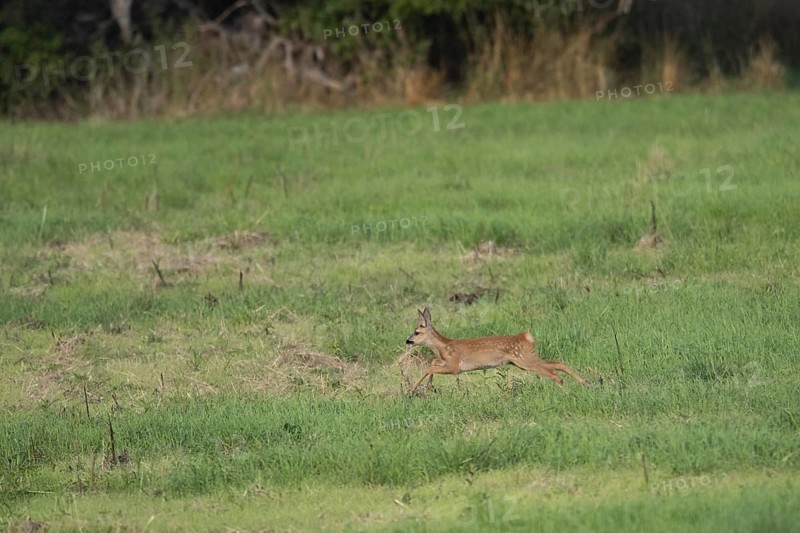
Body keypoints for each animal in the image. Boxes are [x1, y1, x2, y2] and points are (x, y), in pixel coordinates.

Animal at [405, 307, 588, 396]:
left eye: (416, 332)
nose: (408, 341)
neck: (443, 347)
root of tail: (527, 337)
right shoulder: (446, 363)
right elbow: (432, 362)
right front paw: (429, 386)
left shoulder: (455, 366)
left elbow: (429, 367)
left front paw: (412, 390)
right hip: (523, 360)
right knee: (557, 363)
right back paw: (585, 383)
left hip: (524, 359)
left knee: (554, 374)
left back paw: (568, 391)